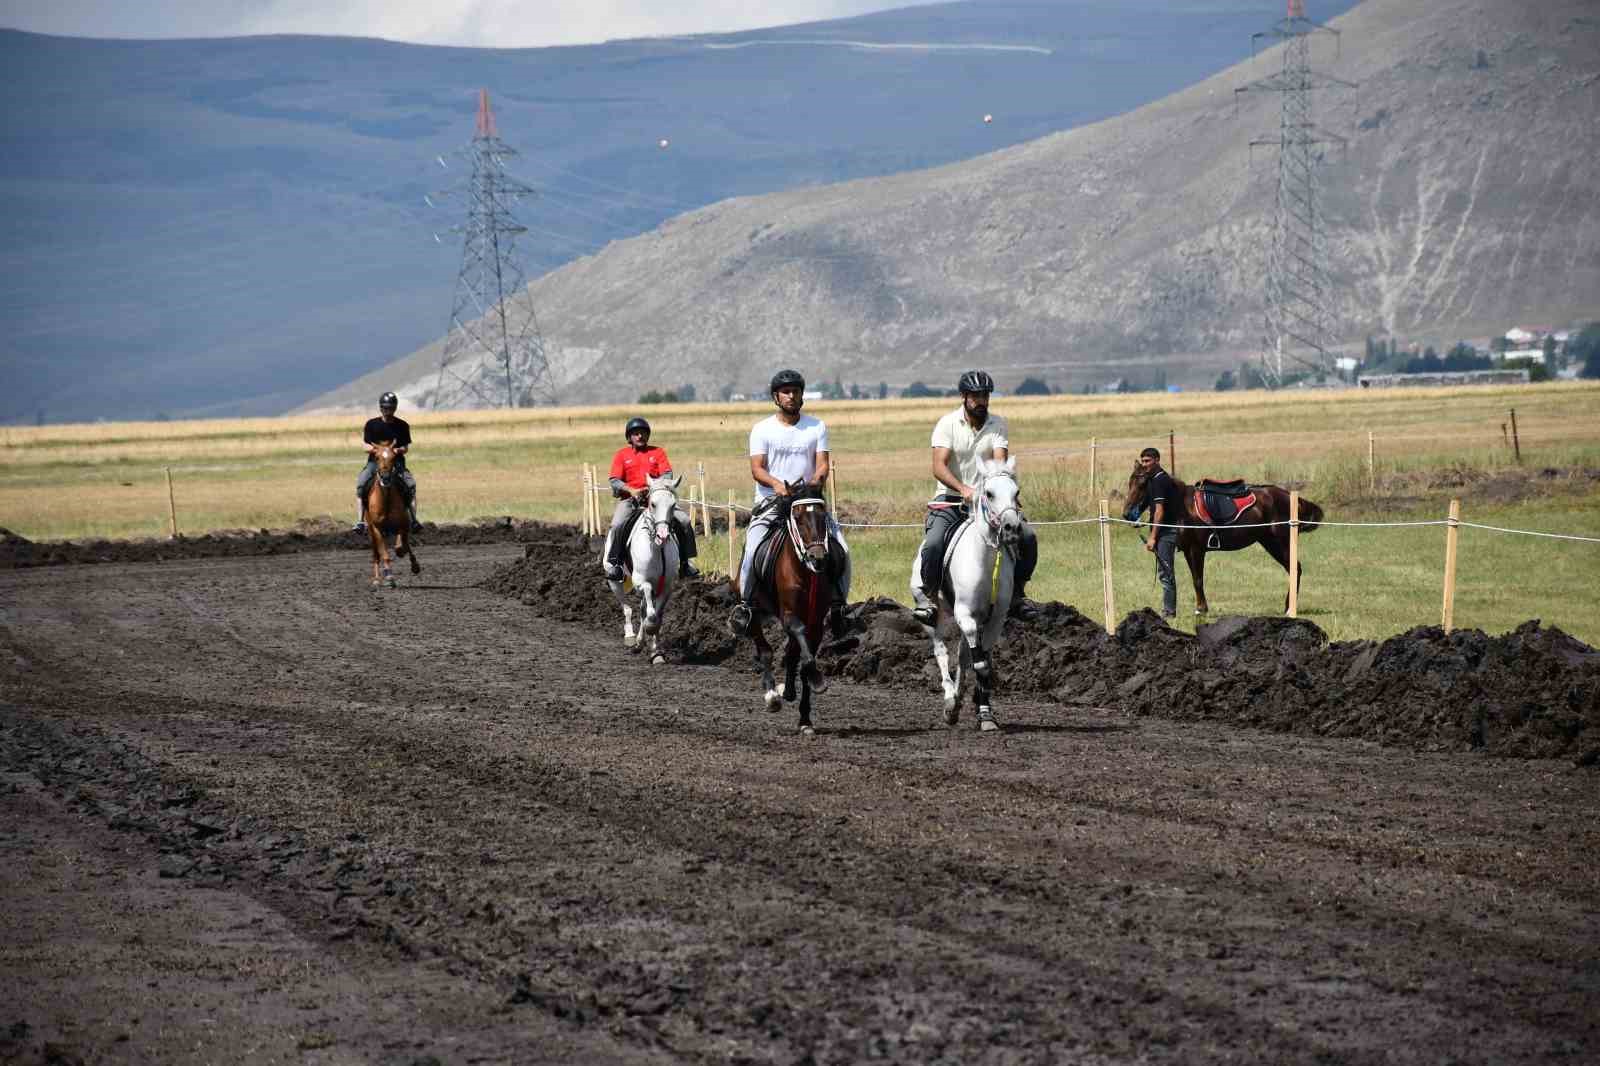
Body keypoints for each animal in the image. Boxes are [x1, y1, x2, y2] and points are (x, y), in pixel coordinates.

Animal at [366, 438, 422, 589]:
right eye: (377, 457)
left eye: (393, 457)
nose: (385, 478)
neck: (386, 500)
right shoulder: (377, 528)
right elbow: (384, 554)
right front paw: (389, 576)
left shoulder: (403, 524)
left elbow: (401, 546)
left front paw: (414, 565)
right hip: (371, 532)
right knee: (376, 554)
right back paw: (377, 578)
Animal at [601, 473, 675, 665]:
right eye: (653, 504)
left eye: (673, 505)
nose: (663, 535)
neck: (656, 548)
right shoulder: (642, 582)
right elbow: (650, 614)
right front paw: (648, 633)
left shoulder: (666, 587)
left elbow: (657, 616)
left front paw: (656, 652)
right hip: (615, 582)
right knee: (627, 607)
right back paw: (630, 637)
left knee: (642, 609)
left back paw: (640, 643)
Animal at [732, 486, 838, 736]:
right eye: (797, 518)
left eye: (823, 516)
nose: (818, 557)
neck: (806, 572)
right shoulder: (789, 614)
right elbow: (796, 641)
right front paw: (816, 679)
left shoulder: (816, 622)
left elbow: (803, 659)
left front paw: (805, 719)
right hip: (754, 611)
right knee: (765, 649)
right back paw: (772, 695)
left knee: (790, 652)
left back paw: (787, 691)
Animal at [915, 457, 1024, 729]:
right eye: (989, 493)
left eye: (1016, 492)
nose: (1012, 529)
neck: (984, 560)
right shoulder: (965, 615)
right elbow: (981, 664)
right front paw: (978, 709)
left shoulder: (994, 620)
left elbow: (983, 662)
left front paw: (983, 709)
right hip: (935, 617)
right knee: (942, 652)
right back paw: (950, 700)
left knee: (964, 655)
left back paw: (959, 695)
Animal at [1120, 464, 1318, 614]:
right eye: (1130, 482)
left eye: (1142, 483)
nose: (1127, 514)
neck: (1182, 506)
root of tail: (1289, 496)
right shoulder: (1188, 551)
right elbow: (1195, 579)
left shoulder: (1196, 550)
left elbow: (1198, 579)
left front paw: (1201, 609)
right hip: (1269, 543)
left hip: (1280, 543)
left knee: (1295, 569)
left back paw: (1289, 608)